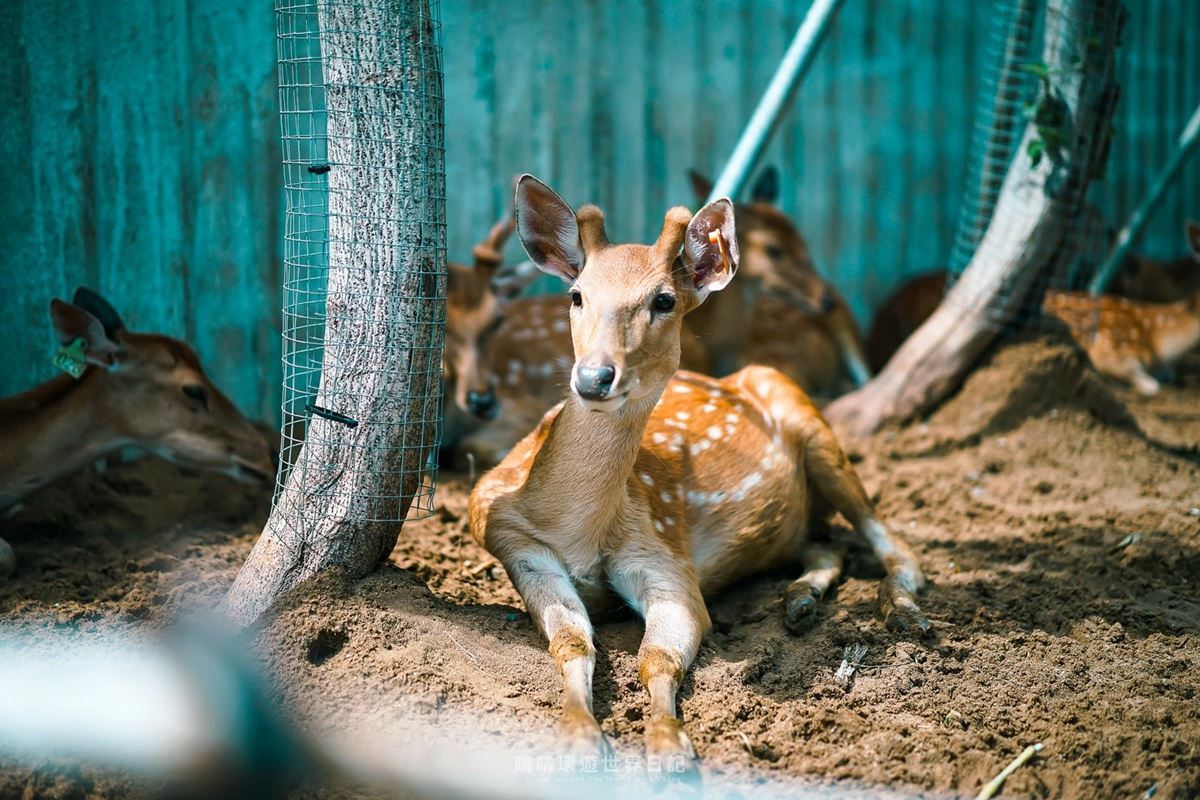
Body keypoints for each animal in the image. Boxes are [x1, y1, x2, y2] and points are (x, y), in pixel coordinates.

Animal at [468, 176, 926, 777]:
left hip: (813, 424)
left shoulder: (663, 556)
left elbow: (657, 655)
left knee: (894, 545)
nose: (593, 376)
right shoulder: (517, 547)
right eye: (576, 295)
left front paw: (669, 750)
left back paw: (903, 611)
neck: (575, 532)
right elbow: (571, 643)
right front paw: (579, 739)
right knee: (827, 545)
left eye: (663, 300)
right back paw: (798, 601)